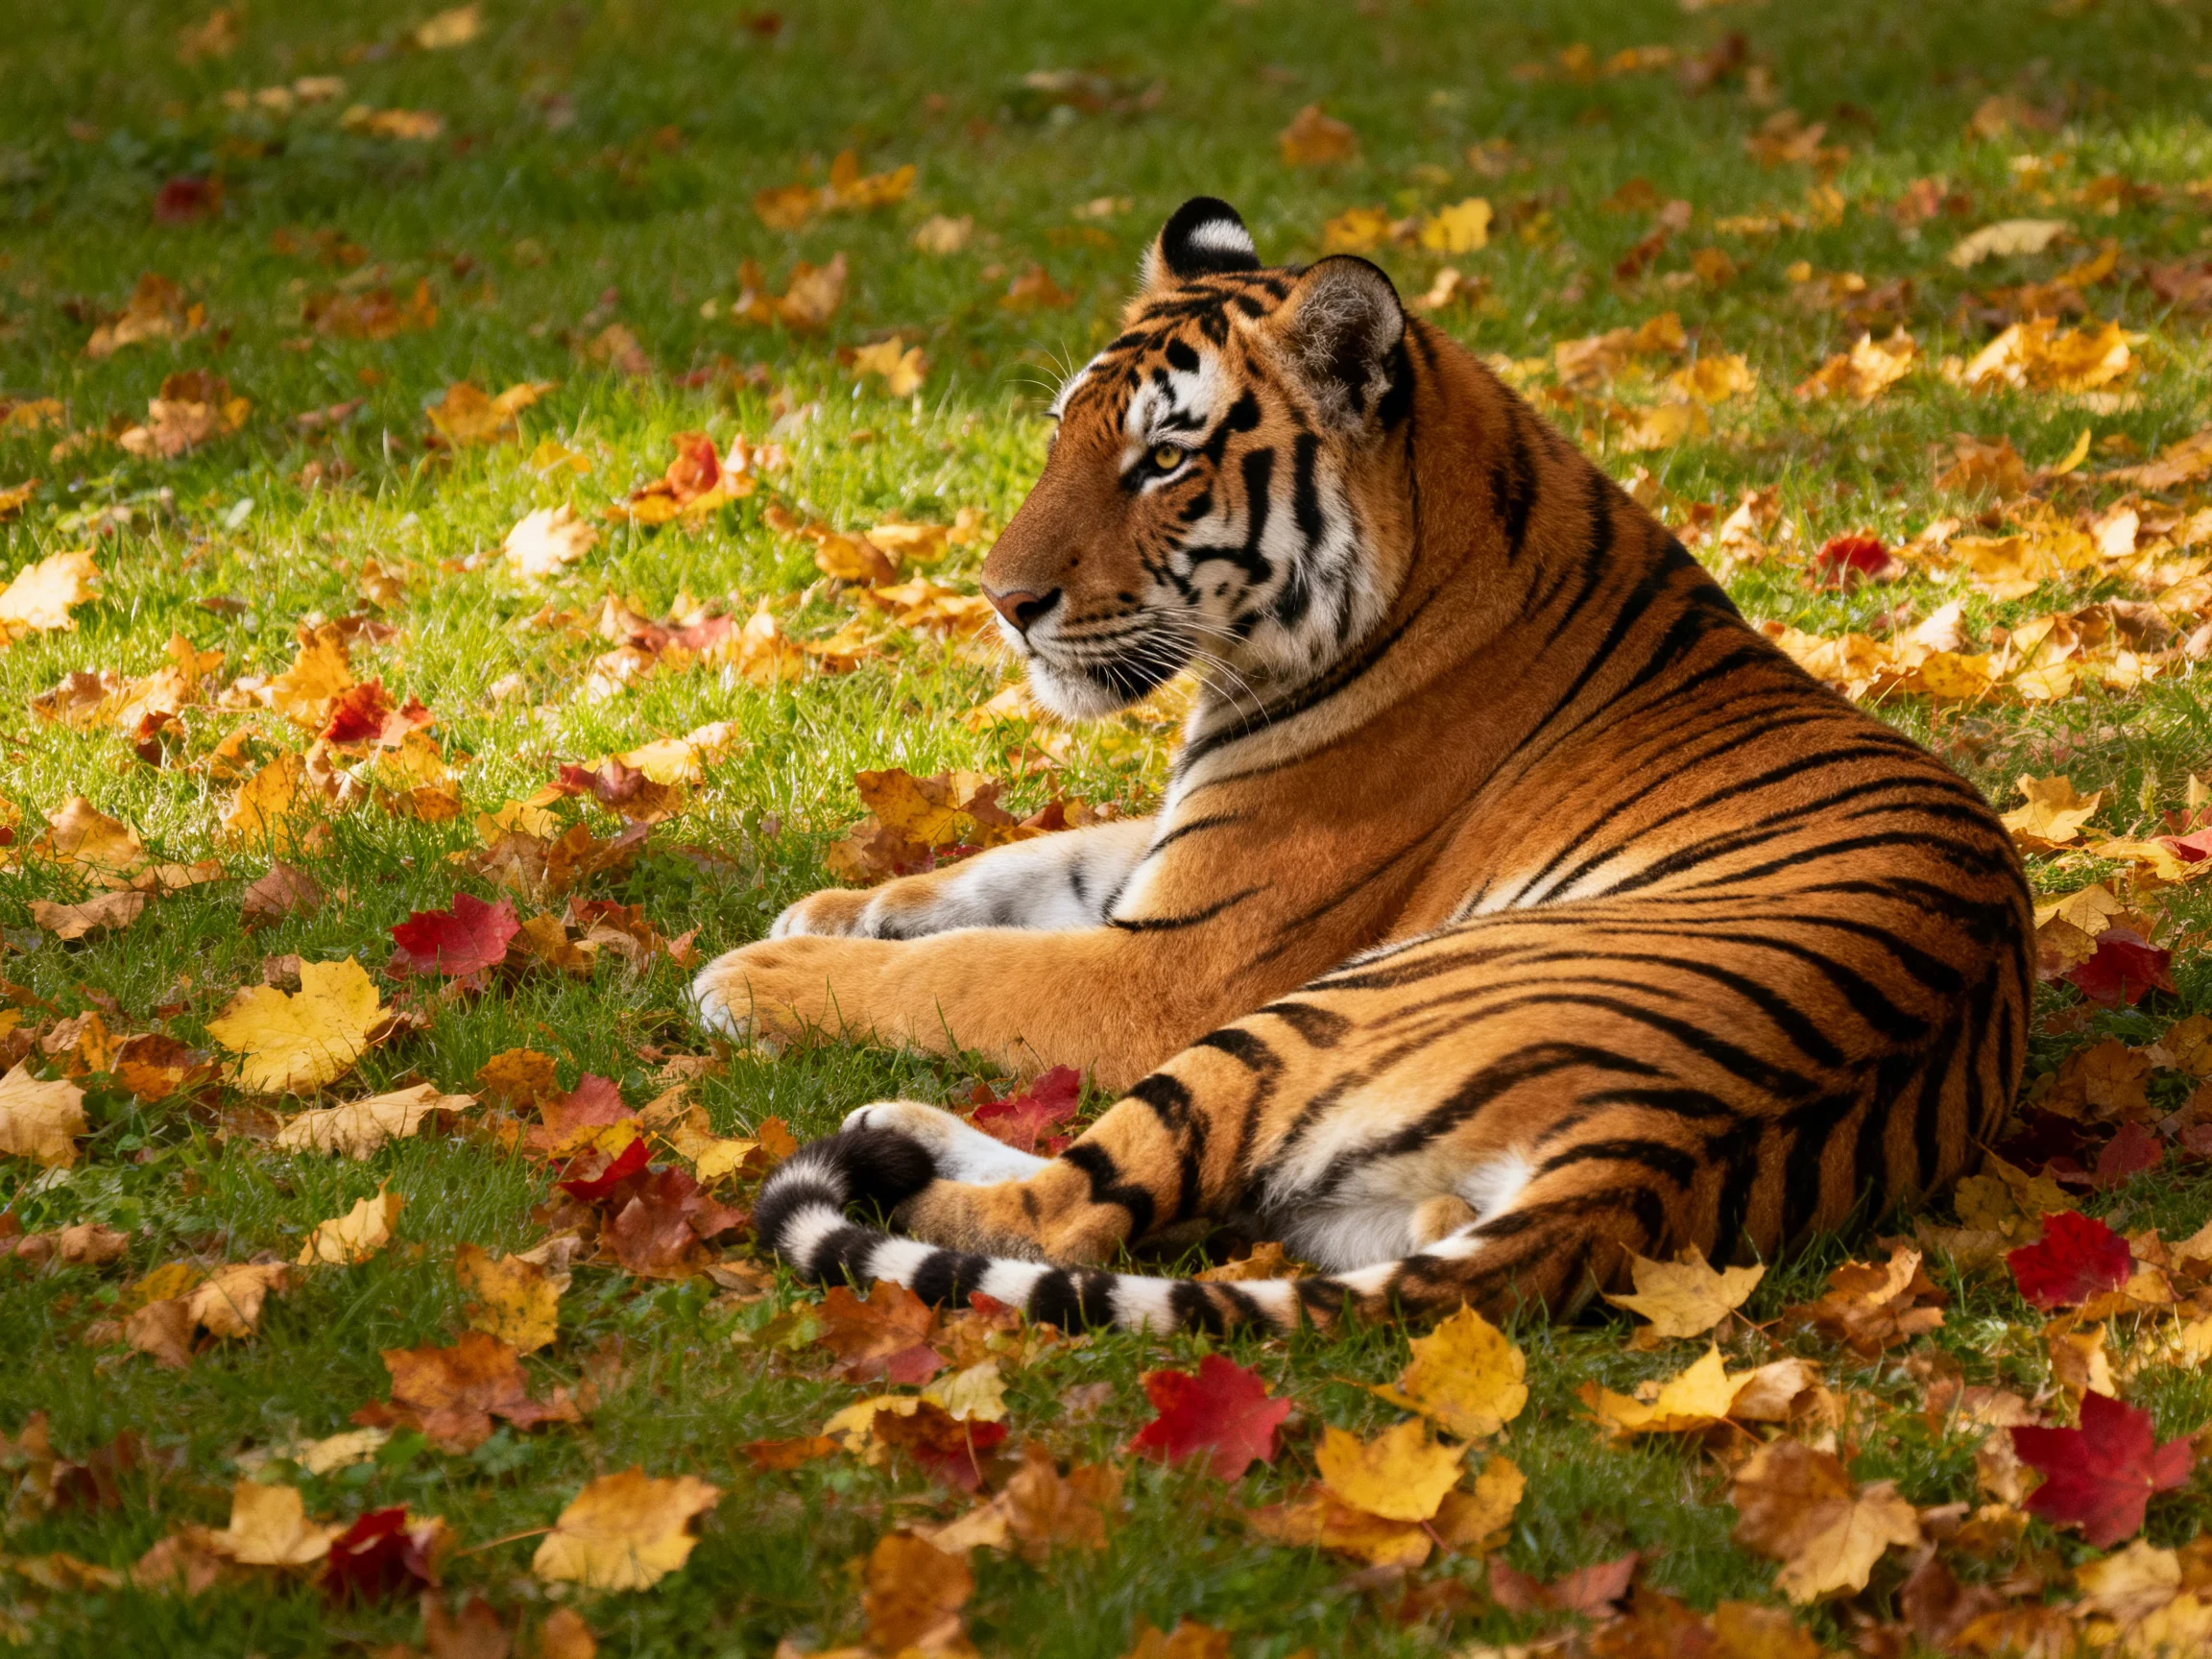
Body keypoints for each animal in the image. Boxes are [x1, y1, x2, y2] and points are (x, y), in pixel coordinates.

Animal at [694, 196, 2033, 1334]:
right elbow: (1021, 864)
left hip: (1293, 1021)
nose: (1001, 603)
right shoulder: (1177, 849)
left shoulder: (1181, 961)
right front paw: (837, 906)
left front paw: (759, 971)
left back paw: (889, 1128)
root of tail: (1647, 1154)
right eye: (1061, 437)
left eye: (1164, 461)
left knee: (1064, 1218)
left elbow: (968, 968)